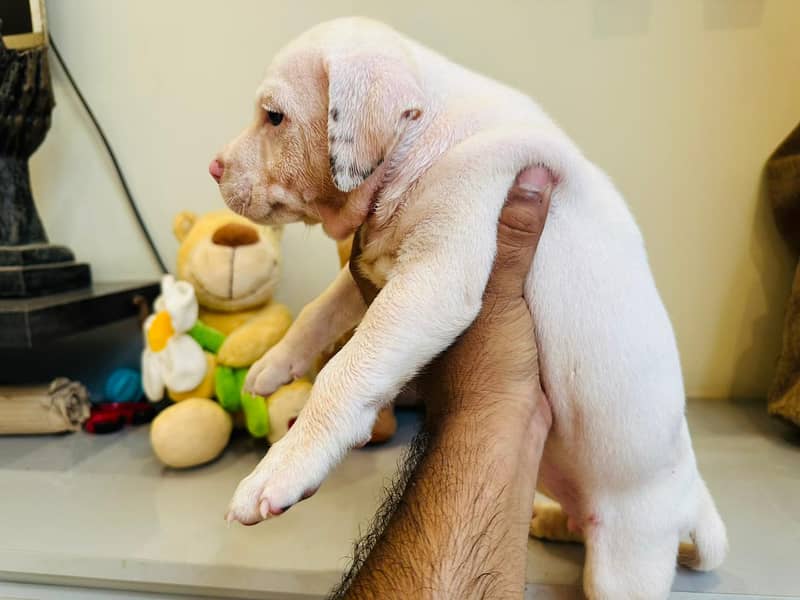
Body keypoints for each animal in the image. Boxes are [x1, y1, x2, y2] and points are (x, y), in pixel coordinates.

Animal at [211, 16, 724, 596]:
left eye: (274, 117)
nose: (213, 167)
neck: (426, 134)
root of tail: (692, 494)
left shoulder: (436, 272)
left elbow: (345, 372)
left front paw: (280, 470)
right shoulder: (377, 263)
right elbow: (321, 308)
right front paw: (272, 365)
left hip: (627, 557)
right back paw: (548, 519)